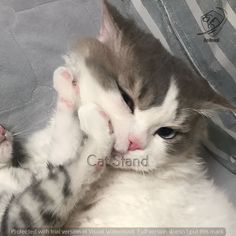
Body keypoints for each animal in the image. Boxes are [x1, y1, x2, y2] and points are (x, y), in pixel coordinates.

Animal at [0, 0, 236, 235]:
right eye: (126, 99)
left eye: (166, 133)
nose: (134, 143)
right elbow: (65, 146)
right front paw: (68, 87)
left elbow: (74, 163)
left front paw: (84, 112)